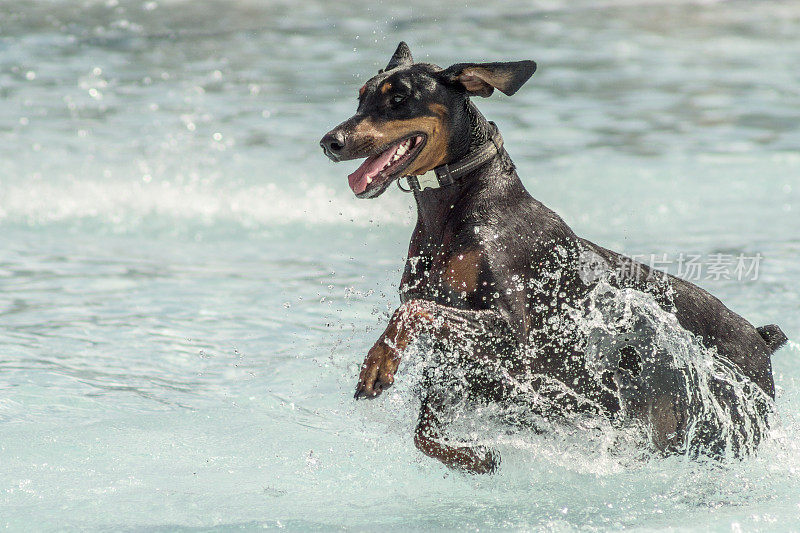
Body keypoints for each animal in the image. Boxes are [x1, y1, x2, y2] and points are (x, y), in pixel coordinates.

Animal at [318, 42, 788, 474]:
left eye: (399, 97)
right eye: (360, 97)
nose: (329, 142)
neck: (453, 214)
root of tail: (759, 337)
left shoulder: (517, 336)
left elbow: (414, 311)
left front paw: (376, 366)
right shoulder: (456, 361)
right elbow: (424, 433)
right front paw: (476, 458)